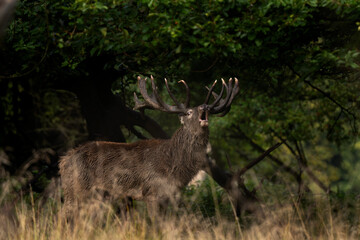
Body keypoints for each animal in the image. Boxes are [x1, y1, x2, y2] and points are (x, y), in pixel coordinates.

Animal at [59, 75, 239, 216]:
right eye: (188, 112)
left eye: (206, 109)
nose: (205, 106)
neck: (175, 166)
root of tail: (63, 161)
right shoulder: (152, 192)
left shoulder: (169, 195)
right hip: (76, 189)